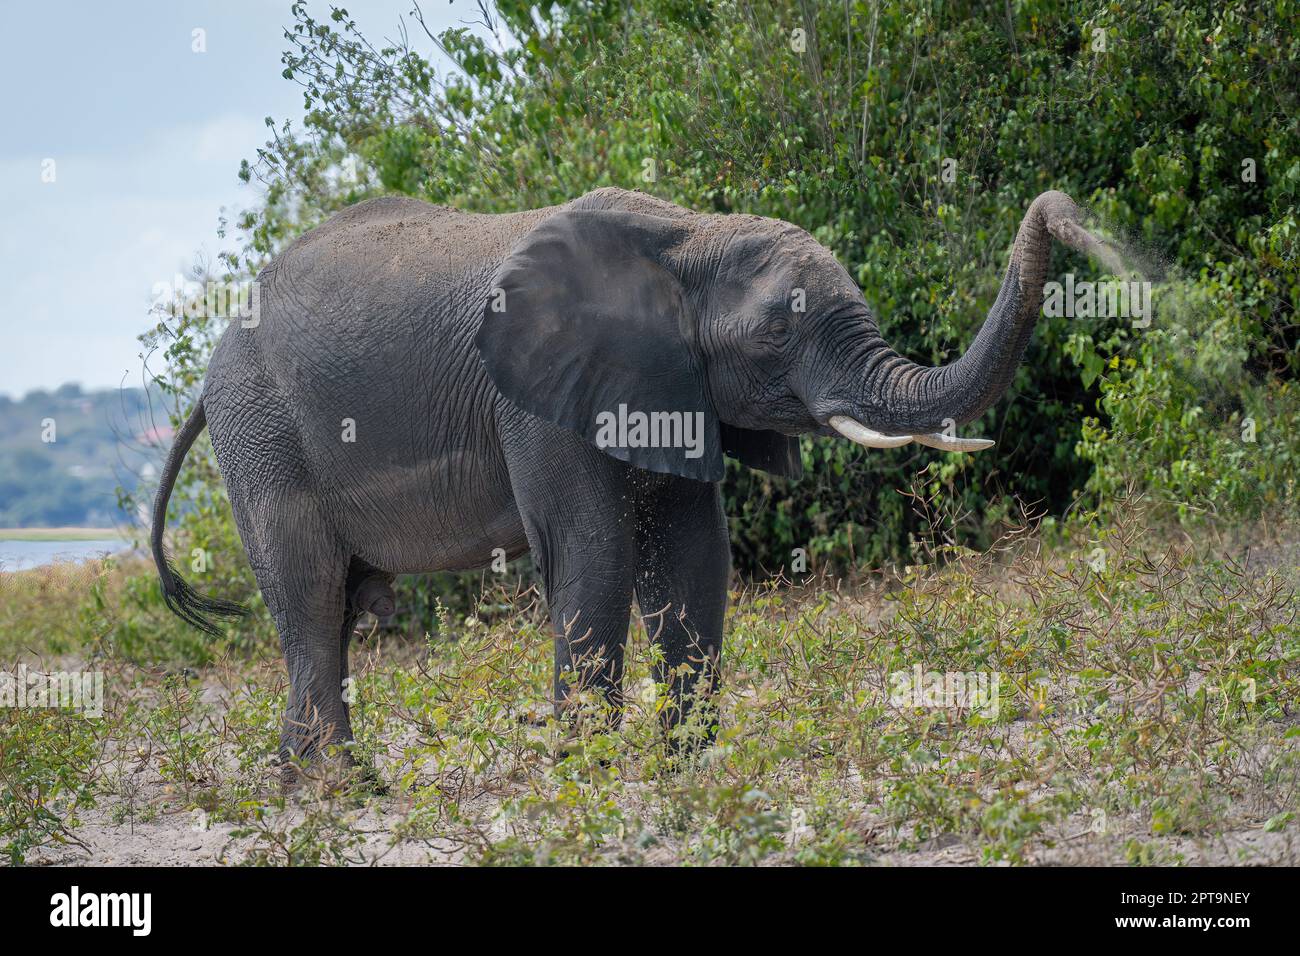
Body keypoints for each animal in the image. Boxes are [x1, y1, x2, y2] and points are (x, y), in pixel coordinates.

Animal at [150, 185, 1104, 771]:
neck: (687, 236)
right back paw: (339, 792)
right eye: (778, 335)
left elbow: (693, 555)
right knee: (313, 604)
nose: (1061, 213)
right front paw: (591, 779)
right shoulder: (535, 397)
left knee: (337, 615)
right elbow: (595, 553)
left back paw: (315, 790)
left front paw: (692, 768)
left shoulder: (670, 385)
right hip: (261, 433)